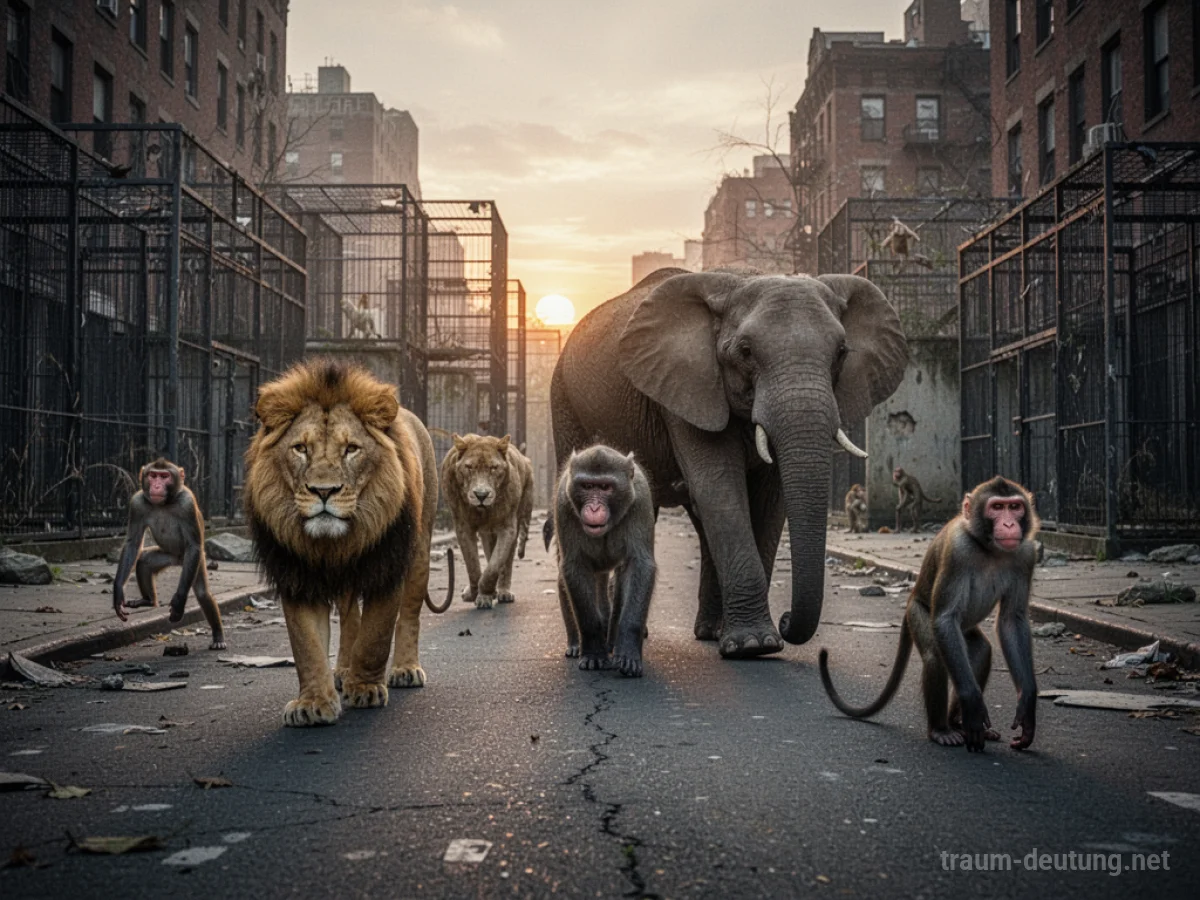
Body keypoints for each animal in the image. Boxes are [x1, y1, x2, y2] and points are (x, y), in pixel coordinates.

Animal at [243, 359, 454, 727]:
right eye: (300, 448)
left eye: (351, 449)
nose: (323, 491)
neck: (333, 544)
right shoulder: (297, 574)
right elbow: (307, 645)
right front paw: (313, 704)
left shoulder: (387, 566)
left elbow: (376, 635)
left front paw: (366, 689)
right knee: (349, 617)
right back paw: (342, 670)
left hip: (420, 552)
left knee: (409, 614)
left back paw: (405, 669)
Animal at [441, 433, 534, 609]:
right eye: (469, 467)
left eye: (493, 468)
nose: (481, 495)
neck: (482, 512)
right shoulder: (463, 528)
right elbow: (472, 565)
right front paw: (477, 593)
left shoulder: (507, 528)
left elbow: (495, 566)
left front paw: (485, 594)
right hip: (487, 534)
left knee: (506, 562)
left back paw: (503, 592)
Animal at [549, 268, 907, 658]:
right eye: (746, 352)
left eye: (841, 353)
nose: (787, 620)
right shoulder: (688, 389)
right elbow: (719, 486)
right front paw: (753, 645)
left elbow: (769, 500)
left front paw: (756, 642)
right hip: (564, 404)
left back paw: (708, 631)